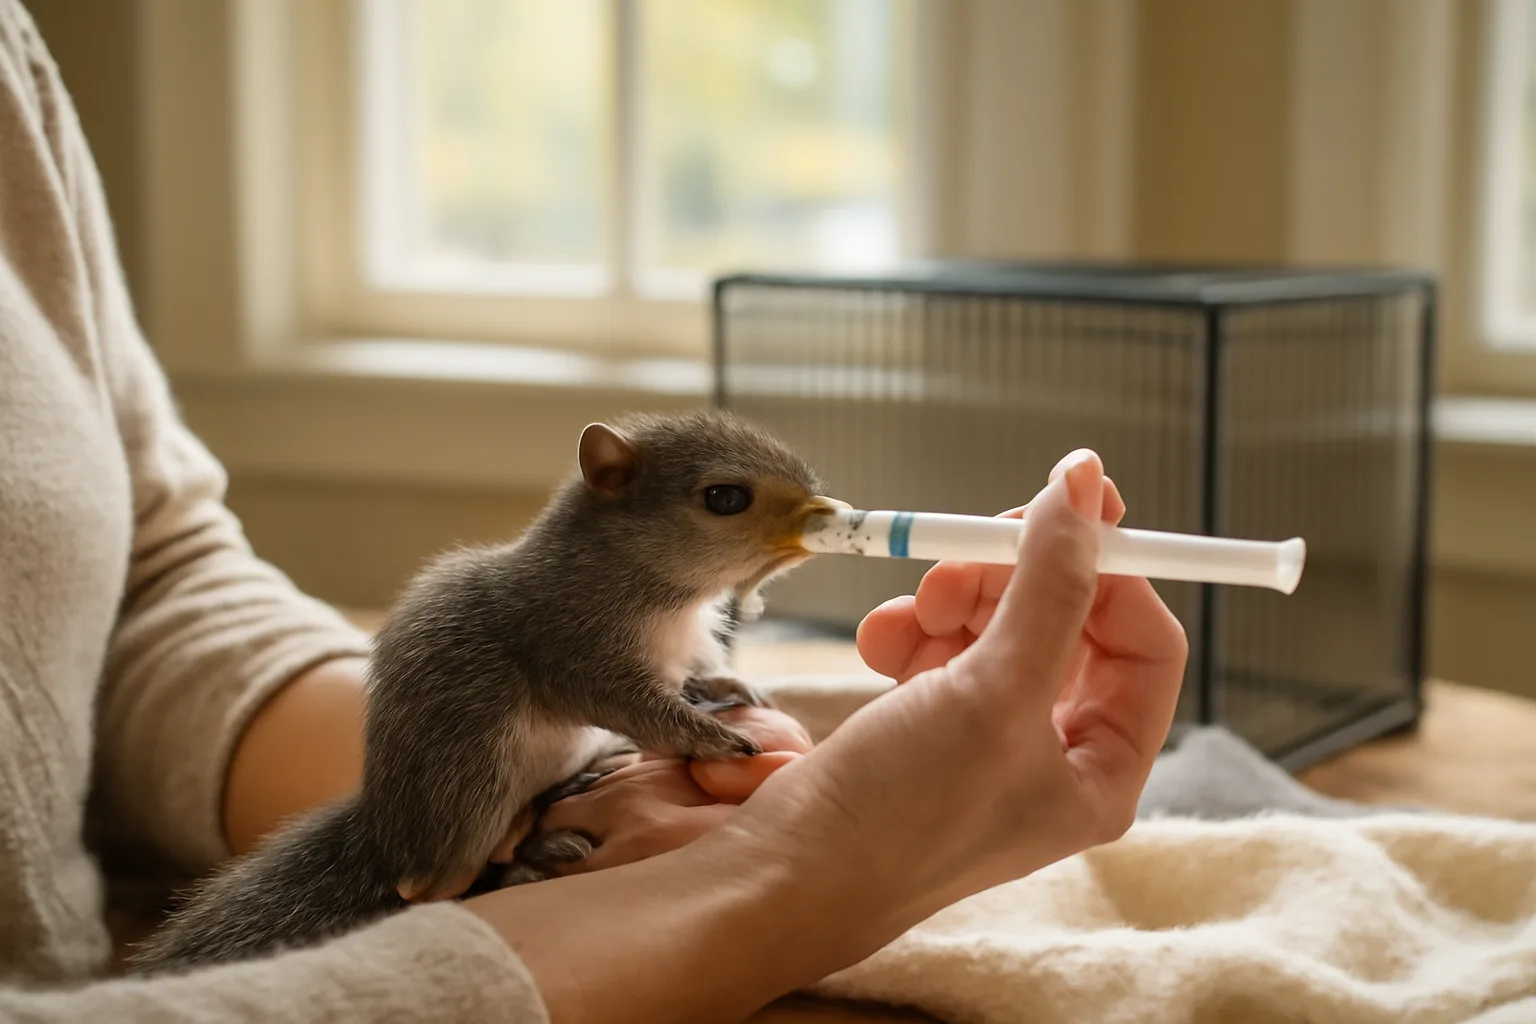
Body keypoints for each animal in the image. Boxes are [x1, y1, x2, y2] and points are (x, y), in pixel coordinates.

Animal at [127, 409, 831, 974]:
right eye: (724, 497)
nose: (824, 512)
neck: (656, 588)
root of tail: (388, 834)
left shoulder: (681, 647)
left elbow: (694, 673)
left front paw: (731, 684)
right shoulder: (571, 644)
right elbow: (635, 706)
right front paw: (711, 736)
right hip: (474, 779)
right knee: (436, 887)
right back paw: (519, 858)